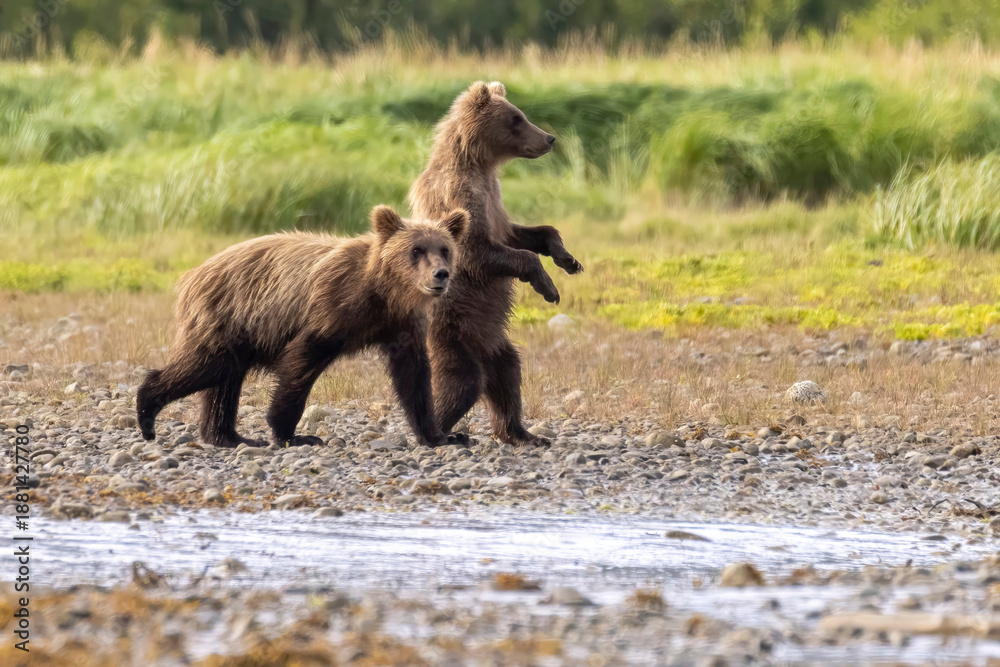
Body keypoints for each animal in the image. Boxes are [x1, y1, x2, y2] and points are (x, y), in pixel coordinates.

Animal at [136, 205, 470, 449]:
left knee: (224, 382)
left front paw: (444, 436)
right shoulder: (332, 309)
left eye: (444, 248)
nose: (440, 274)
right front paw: (294, 434)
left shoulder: (402, 325)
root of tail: (192, 274)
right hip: (230, 317)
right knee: (206, 366)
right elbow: (301, 361)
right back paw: (147, 412)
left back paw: (230, 436)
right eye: (416, 250)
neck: (384, 294)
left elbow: (414, 376)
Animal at [407, 81, 583, 447]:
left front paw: (568, 259)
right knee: (462, 383)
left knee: (508, 376)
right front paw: (548, 288)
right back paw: (441, 433)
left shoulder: (495, 201)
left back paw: (522, 433)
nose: (549, 138)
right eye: (516, 118)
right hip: (454, 335)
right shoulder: (461, 196)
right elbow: (477, 249)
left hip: (494, 341)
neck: (478, 164)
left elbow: (522, 235)